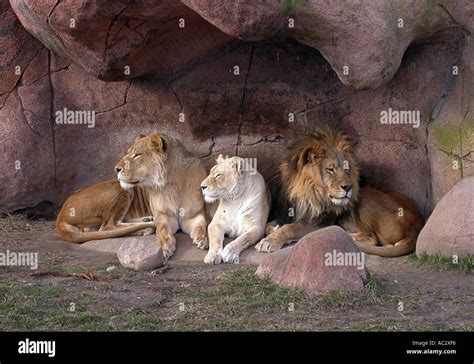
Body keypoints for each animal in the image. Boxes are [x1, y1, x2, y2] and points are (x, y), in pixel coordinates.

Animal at [258, 126, 424, 258]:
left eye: (346, 169)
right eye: (330, 169)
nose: (348, 187)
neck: (308, 193)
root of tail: (418, 222)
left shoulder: (321, 222)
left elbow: (290, 228)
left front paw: (268, 242)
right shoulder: (285, 214)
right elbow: (268, 226)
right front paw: (273, 231)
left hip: (365, 198)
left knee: (371, 238)